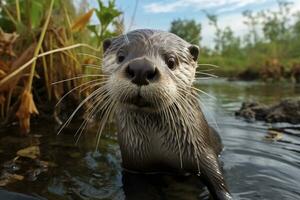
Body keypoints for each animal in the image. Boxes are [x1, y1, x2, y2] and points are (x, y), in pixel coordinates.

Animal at [99, 29, 232, 200]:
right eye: (120, 56)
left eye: (171, 61)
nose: (141, 69)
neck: (159, 149)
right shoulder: (134, 167)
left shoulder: (204, 153)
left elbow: (218, 182)